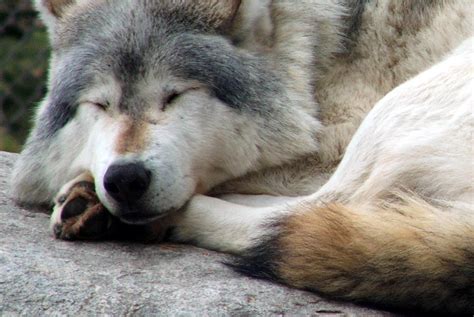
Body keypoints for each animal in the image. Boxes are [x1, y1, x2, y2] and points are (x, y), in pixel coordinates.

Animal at [11, 0, 474, 312]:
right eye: (101, 104)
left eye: (174, 95)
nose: (125, 179)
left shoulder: (329, 147)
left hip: (398, 108)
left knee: (308, 212)